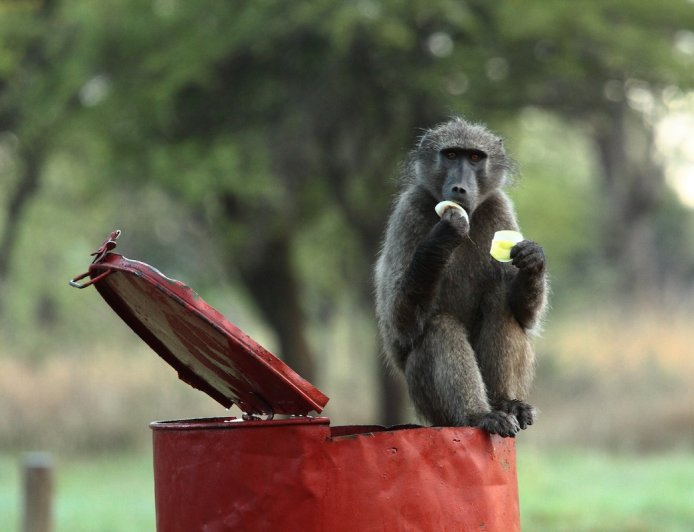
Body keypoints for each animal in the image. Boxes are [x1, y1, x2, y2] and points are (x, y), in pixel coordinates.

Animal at [374, 117, 548, 437]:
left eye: (476, 157)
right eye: (452, 155)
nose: (459, 188)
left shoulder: (499, 207)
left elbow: (526, 317)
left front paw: (533, 260)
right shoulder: (409, 210)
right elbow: (400, 324)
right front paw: (442, 237)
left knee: (499, 299)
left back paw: (507, 404)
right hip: (426, 399)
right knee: (439, 326)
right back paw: (478, 415)